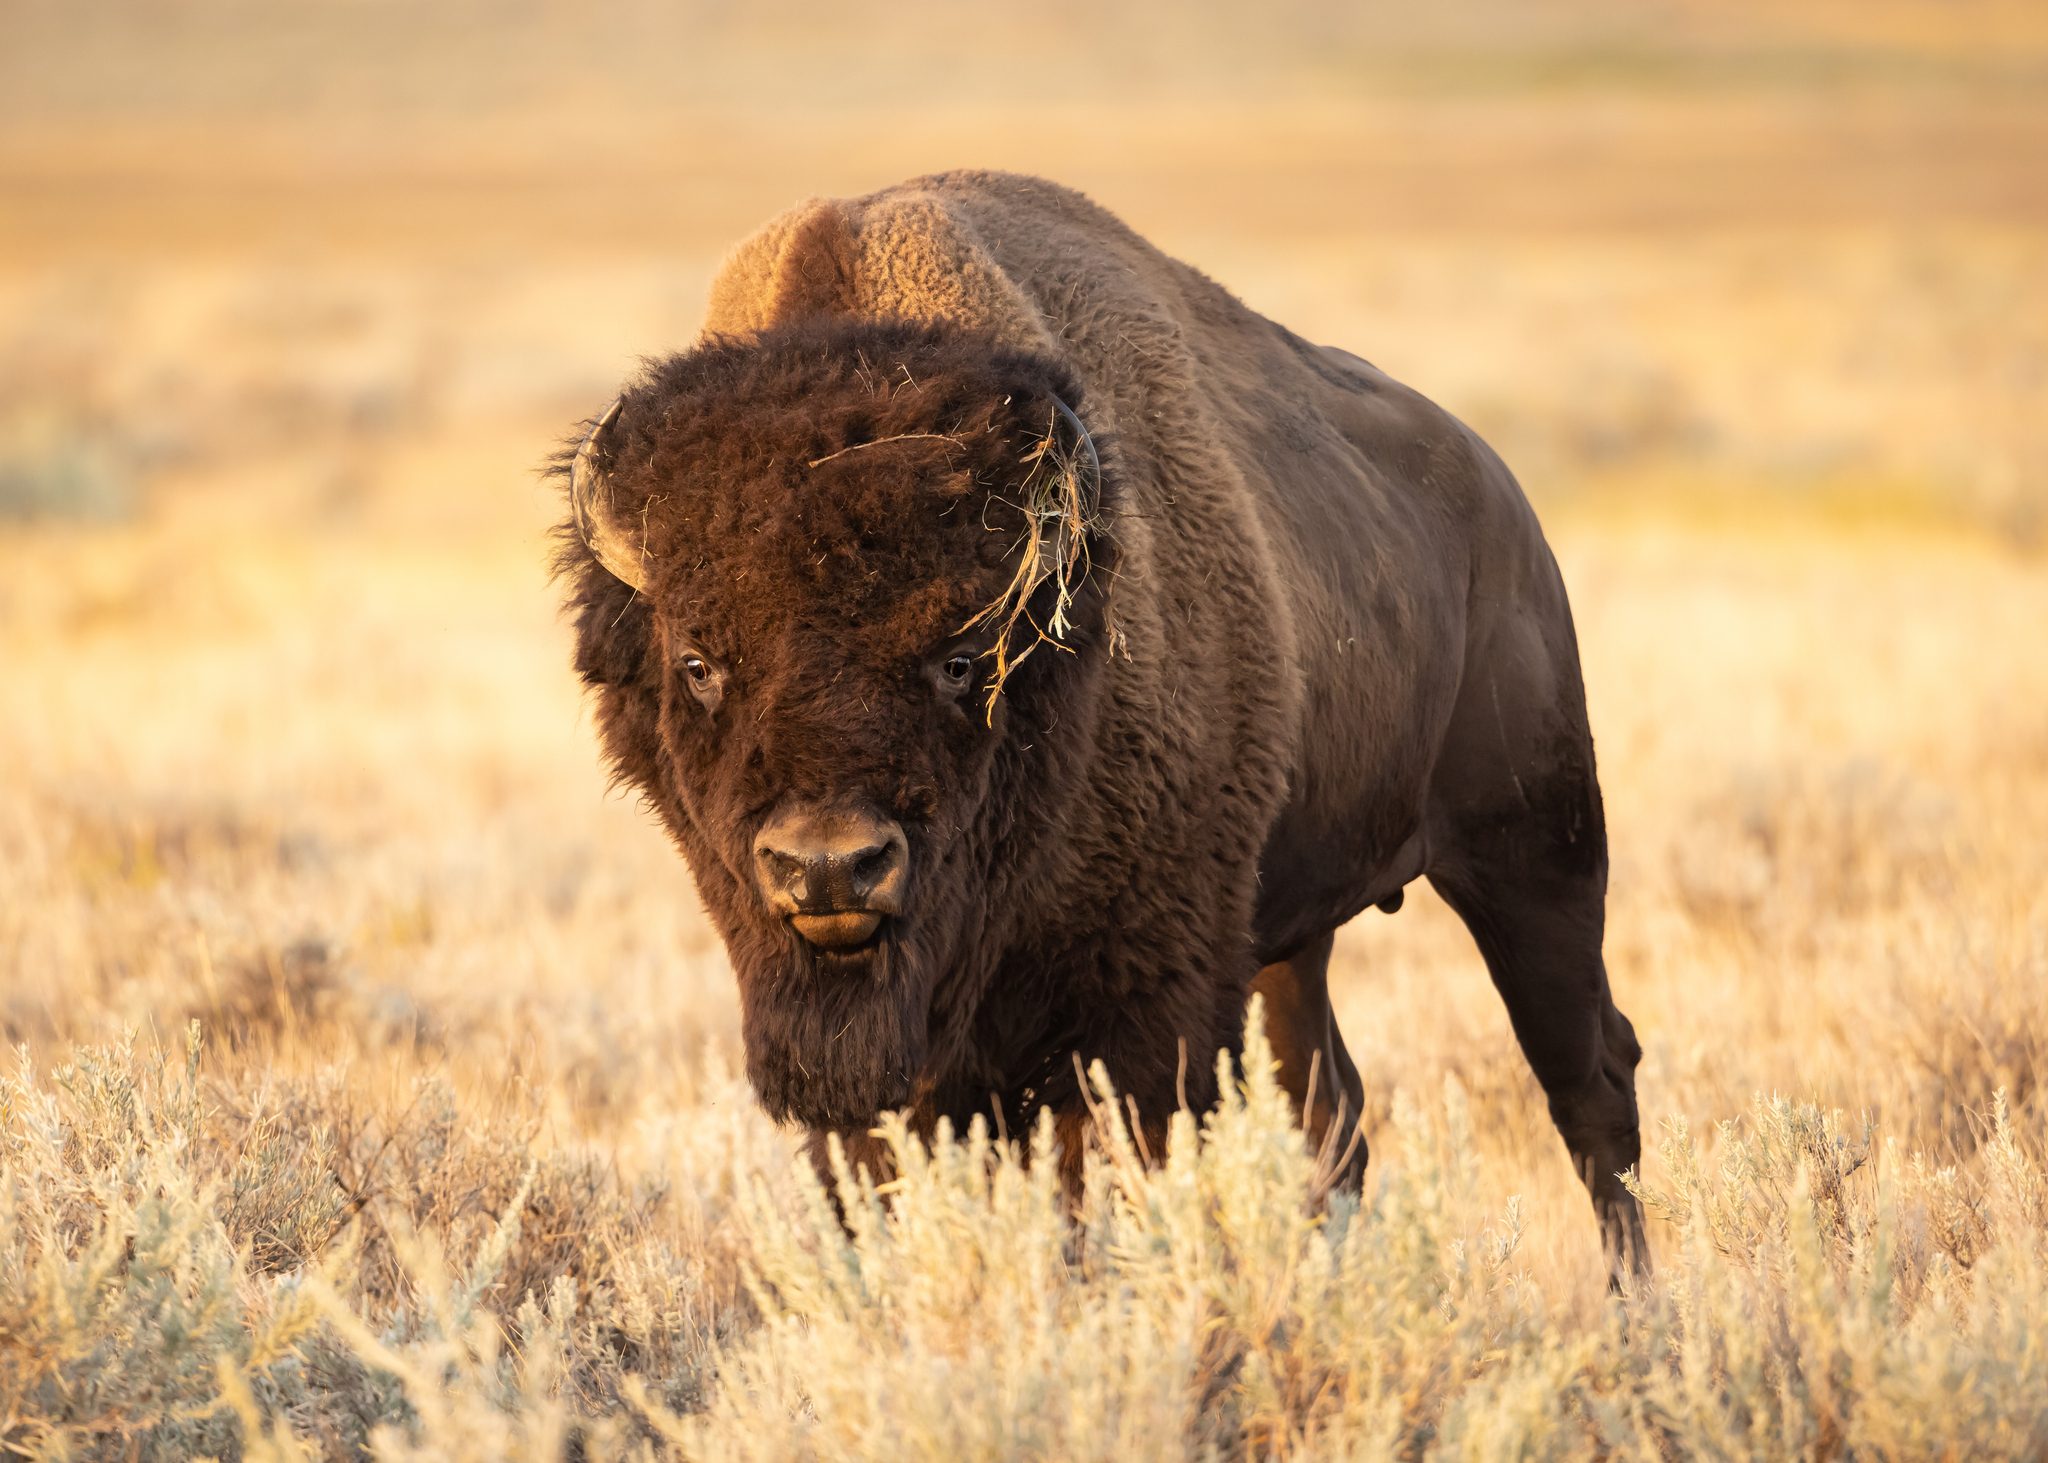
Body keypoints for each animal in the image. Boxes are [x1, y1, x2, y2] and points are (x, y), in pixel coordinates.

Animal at [554, 170, 1647, 1275]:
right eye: (698, 662)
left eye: (964, 657)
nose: (829, 868)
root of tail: (1505, 505)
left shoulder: (1129, 1019)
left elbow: (1093, 1198)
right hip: (1294, 937)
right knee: (1331, 1112)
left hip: (1534, 853)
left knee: (1591, 1079)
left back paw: (1634, 1305)